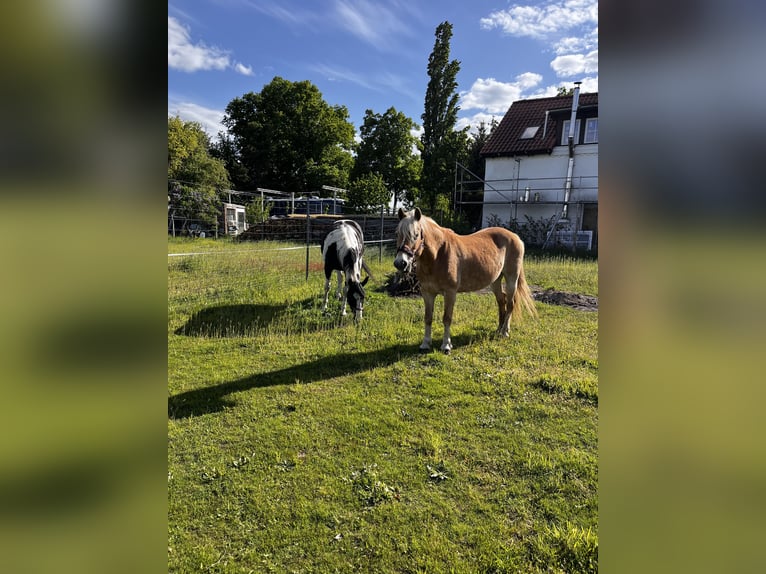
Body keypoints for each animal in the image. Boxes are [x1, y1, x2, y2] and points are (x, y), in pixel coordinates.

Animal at [394, 207, 537, 353]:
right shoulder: (427, 293)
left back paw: (505, 332)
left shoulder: (450, 293)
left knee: (510, 303)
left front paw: (446, 345)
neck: (438, 255)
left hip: (511, 278)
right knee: (501, 301)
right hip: (495, 280)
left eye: (416, 235)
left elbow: (447, 318)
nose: (401, 263)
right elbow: (428, 318)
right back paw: (499, 329)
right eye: (397, 233)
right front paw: (425, 344)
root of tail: (516, 237)